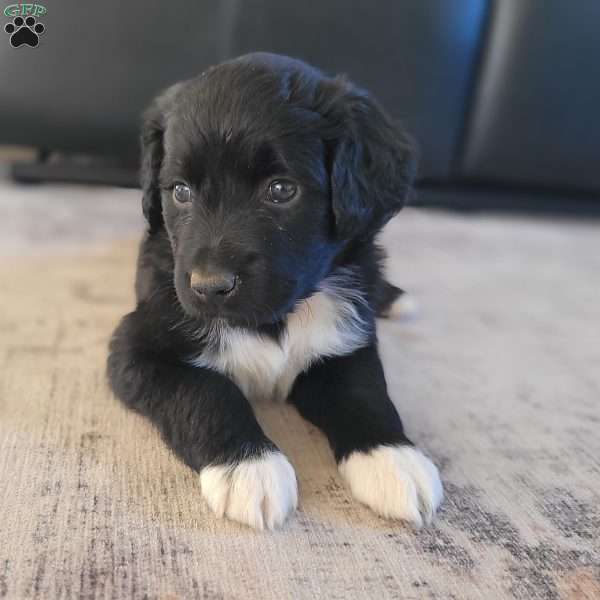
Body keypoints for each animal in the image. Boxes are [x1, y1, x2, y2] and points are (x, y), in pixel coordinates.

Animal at [108, 51, 442, 528]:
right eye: (181, 192)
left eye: (281, 189)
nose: (209, 287)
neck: (276, 317)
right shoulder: (137, 348)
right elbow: (206, 390)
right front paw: (249, 467)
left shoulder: (346, 341)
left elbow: (366, 391)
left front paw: (393, 458)